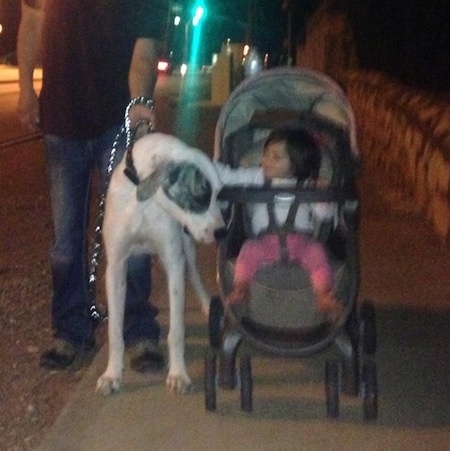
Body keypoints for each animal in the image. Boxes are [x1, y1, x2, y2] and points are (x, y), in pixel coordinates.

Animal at [97, 133, 225, 396]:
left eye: (219, 194)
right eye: (200, 196)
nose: (222, 232)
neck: (142, 202)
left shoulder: (174, 261)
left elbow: (176, 331)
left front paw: (178, 375)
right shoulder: (115, 267)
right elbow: (114, 330)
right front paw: (111, 374)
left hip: (187, 246)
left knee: (194, 274)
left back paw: (207, 304)